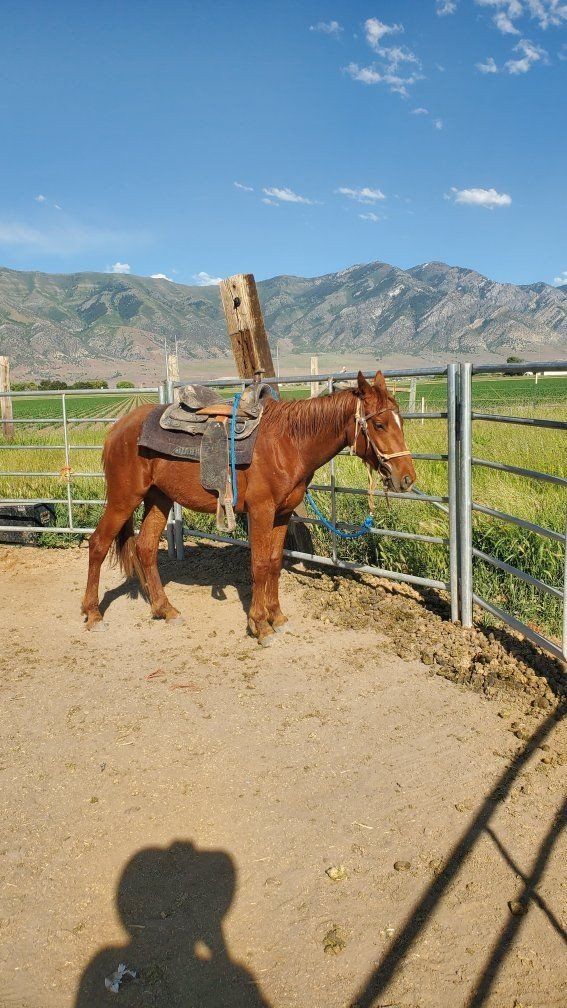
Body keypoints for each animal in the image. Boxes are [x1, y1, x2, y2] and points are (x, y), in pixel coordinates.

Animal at [82, 370, 416, 644]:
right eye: (379, 424)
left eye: (400, 422)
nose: (407, 478)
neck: (288, 443)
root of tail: (117, 429)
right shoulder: (261, 511)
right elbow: (259, 565)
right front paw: (260, 625)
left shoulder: (282, 514)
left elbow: (274, 563)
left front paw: (277, 617)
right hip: (123, 499)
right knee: (98, 544)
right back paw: (93, 614)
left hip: (158, 499)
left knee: (146, 548)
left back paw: (165, 609)